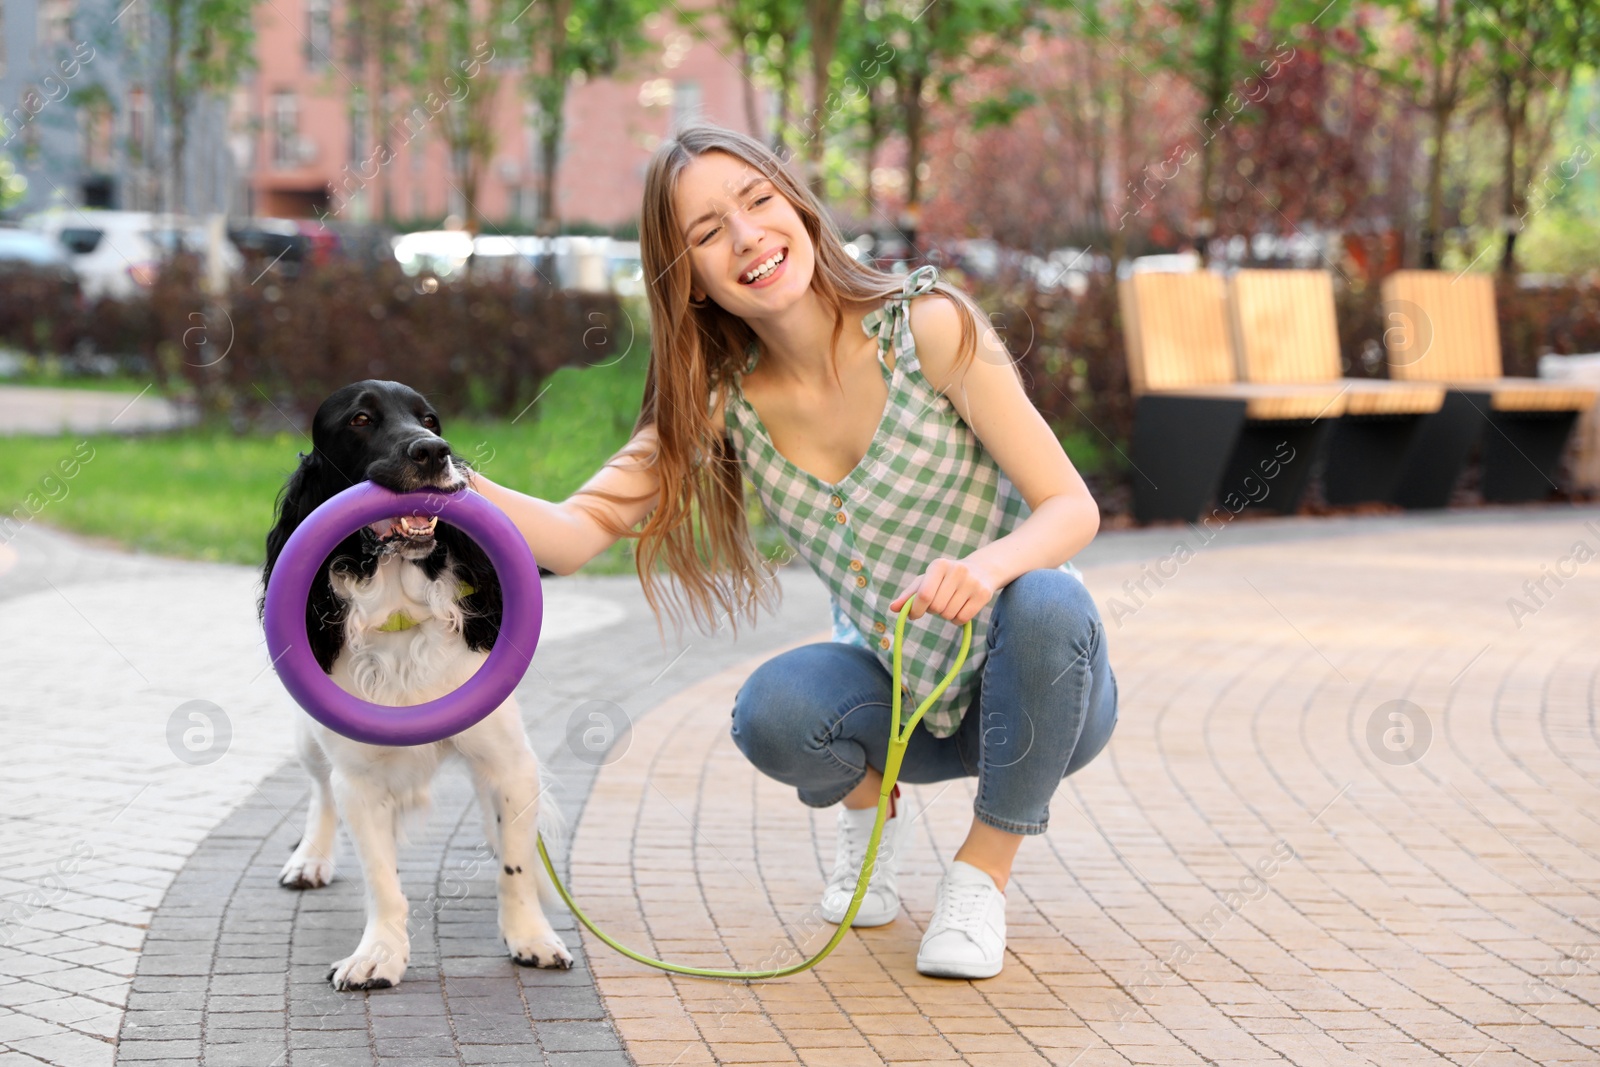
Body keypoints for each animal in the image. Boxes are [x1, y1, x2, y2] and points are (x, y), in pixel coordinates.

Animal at [256, 379, 569, 991]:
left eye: (430, 420)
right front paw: (379, 955)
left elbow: (516, 865)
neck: (400, 615)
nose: (433, 452)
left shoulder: (509, 762)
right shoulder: (359, 780)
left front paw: (531, 938)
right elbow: (382, 878)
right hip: (308, 739)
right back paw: (311, 859)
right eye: (360, 419)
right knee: (319, 790)